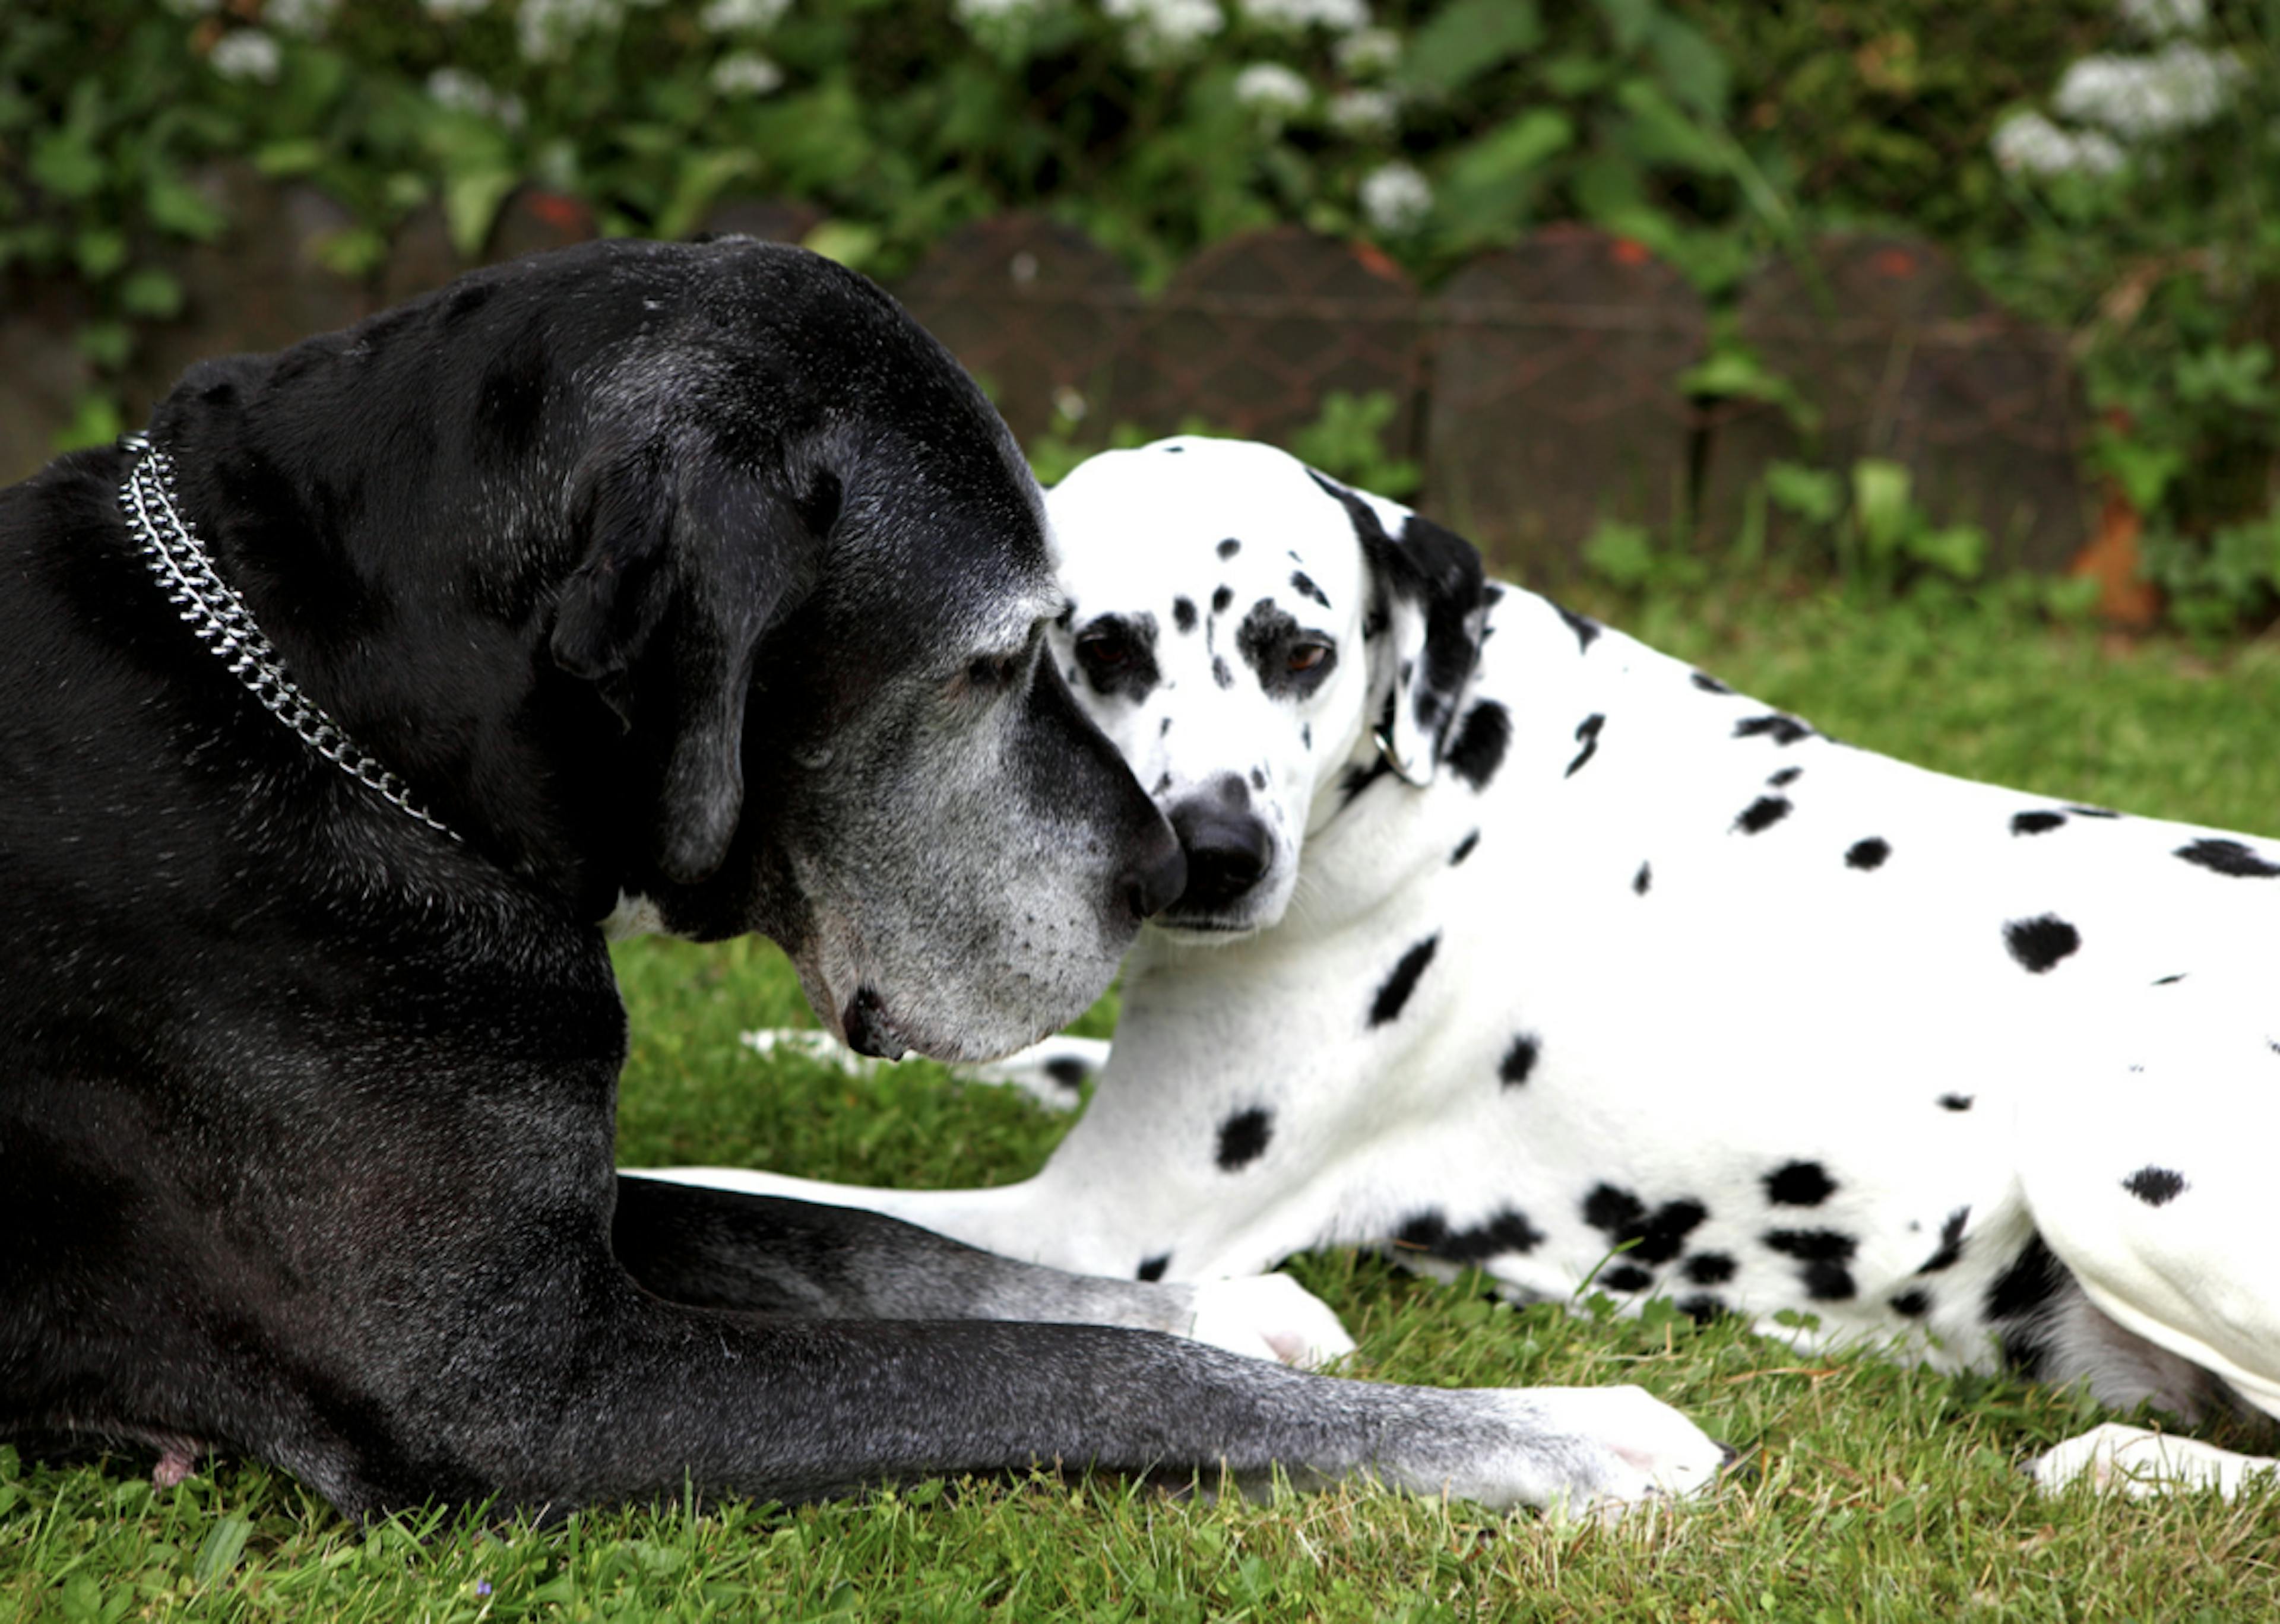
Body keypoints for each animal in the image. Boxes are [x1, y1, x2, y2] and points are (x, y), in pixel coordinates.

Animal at [0, 240, 1714, 1523]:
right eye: (996, 658)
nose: (1175, 870)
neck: (334, 711)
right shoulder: (522, 1390)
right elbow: (1058, 1370)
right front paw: (1557, 1431)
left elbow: (872, 1247)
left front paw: (1242, 1306)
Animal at [652, 437, 2280, 1505]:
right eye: (1103, 646)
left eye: (1299, 647)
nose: (1213, 851)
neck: (1443, 762)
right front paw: (781, 1053)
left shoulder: (1105, 1223)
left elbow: (792, 1204)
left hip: (2103, 1128)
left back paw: (2125, 1462)